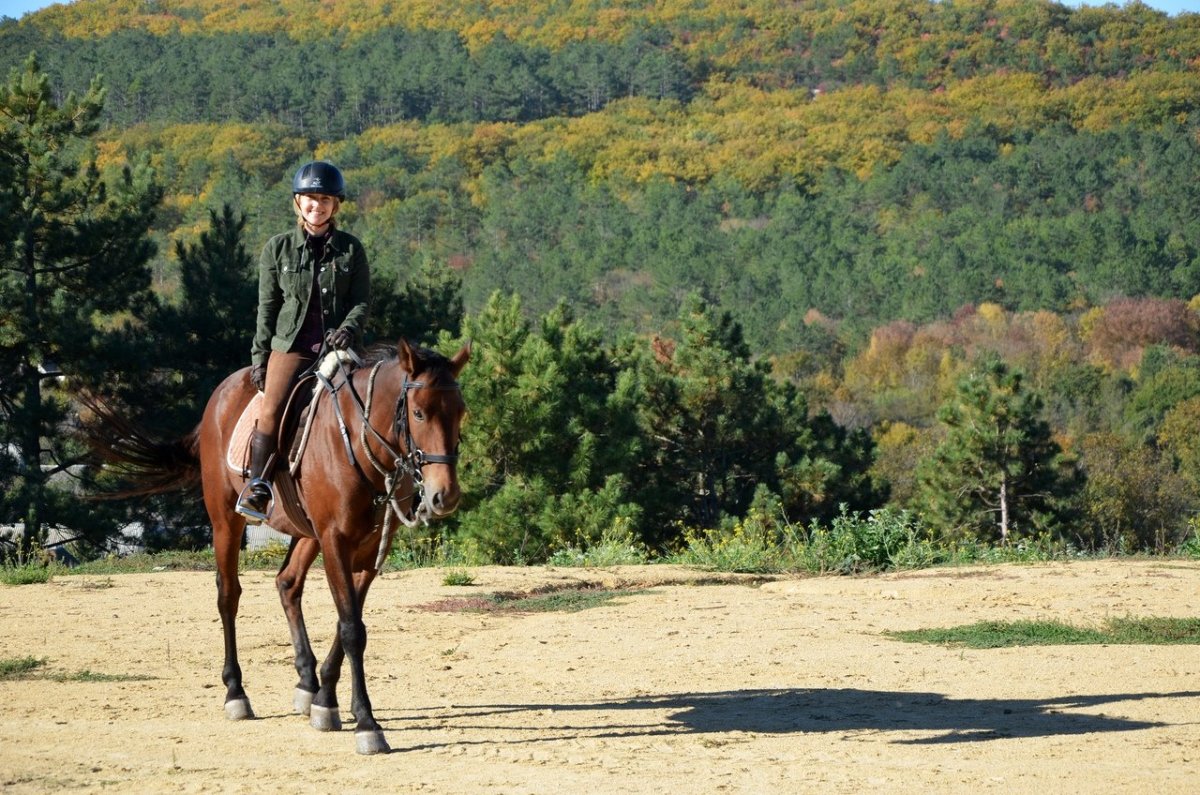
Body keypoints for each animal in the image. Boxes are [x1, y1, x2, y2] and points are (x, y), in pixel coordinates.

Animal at [83, 338, 468, 758]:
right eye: (418, 412)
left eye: (460, 412)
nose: (445, 496)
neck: (357, 441)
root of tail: (221, 393)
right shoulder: (335, 541)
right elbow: (352, 629)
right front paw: (367, 723)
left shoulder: (370, 552)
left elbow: (346, 623)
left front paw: (326, 702)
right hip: (226, 521)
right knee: (228, 596)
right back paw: (236, 693)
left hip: (305, 532)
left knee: (287, 583)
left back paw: (307, 683)